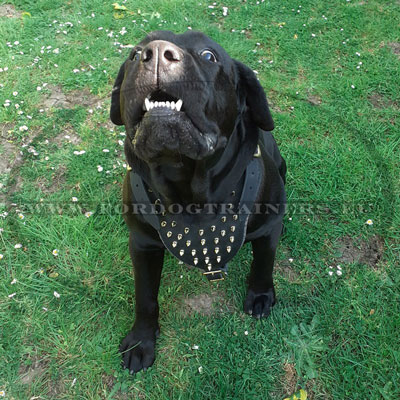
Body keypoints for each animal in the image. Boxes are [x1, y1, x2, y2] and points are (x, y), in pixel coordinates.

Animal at [109, 31, 286, 376]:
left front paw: (260, 295)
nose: (156, 53)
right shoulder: (142, 243)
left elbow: (263, 263)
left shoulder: (267, 227)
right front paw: (141, 341)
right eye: (135, 54)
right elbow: (145, 295)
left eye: (208, 56)